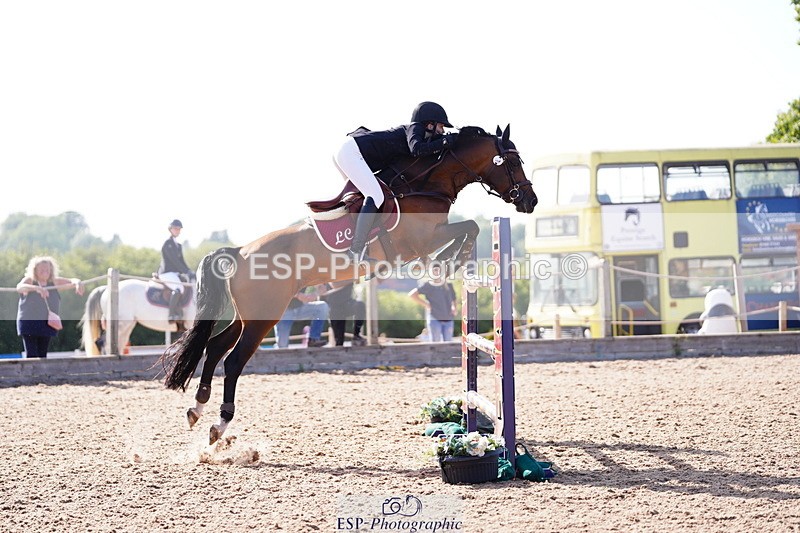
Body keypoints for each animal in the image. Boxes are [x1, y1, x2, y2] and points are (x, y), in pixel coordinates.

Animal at [160, 125, 538, 444]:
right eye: (513, 161)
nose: (530, 201)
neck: (425, 183)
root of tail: (239, 251)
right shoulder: (421, 241)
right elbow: (469, 227)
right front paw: (447, 263)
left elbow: (469, 228)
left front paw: (448, 263)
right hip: (264, 317)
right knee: (234, 361)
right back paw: (219, 423)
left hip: (249, 315)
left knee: (215, 346)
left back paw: (197, 407)